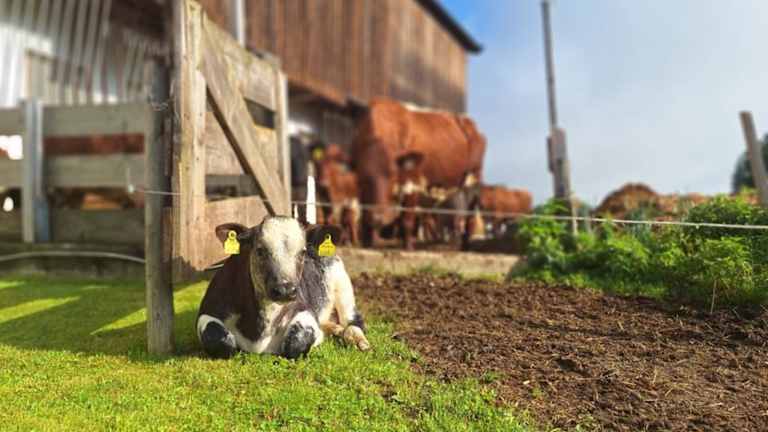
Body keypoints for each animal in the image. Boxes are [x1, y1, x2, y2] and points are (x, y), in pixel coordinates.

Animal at [196, 216, 369, 359]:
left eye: (302, 252)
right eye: (260, 250)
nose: (285, 290)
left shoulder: (304, 308)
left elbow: (296, 343)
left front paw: (317, 338)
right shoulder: (208, 310)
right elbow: (219, 341)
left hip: (343, 285)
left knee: (353, 321)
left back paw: (358, 340)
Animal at [351, 98, 486, 250]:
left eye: (393, 174)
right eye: (363, 176)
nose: (377, 218)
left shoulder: (413, 183)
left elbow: (407, 219)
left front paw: (408, 247)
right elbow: (365, 216)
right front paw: (368, 243)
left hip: (474, 180)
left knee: (470, 217)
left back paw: (465, 245)